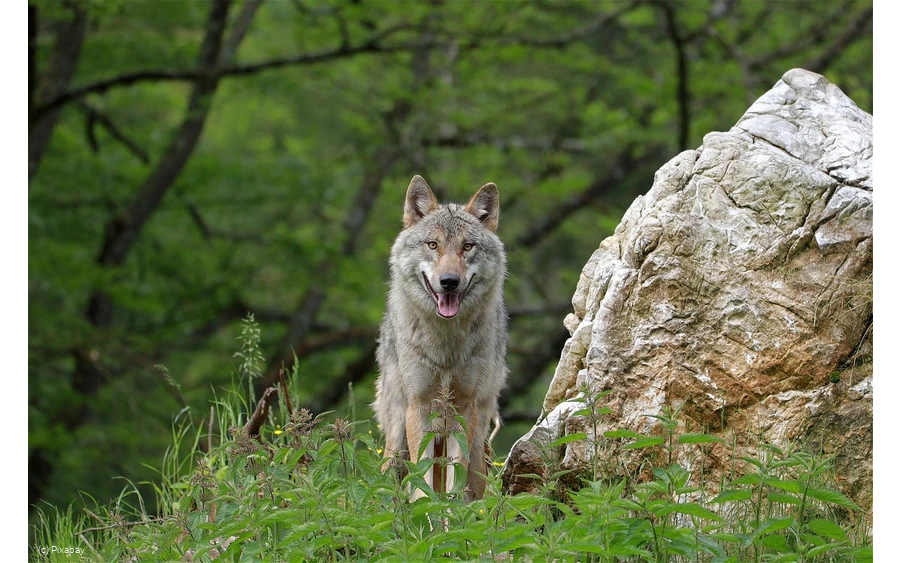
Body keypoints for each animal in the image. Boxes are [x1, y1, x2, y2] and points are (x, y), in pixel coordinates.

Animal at [373, 175, 508, 501]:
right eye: (432, 244)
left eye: (467, 246)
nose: (449, 282)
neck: (446, 347)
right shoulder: (418, 407)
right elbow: (421, 481)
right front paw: (426, 513)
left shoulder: (463, 409)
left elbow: (455, 482)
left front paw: (451, 515)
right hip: (397, 438)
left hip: (477, 440)